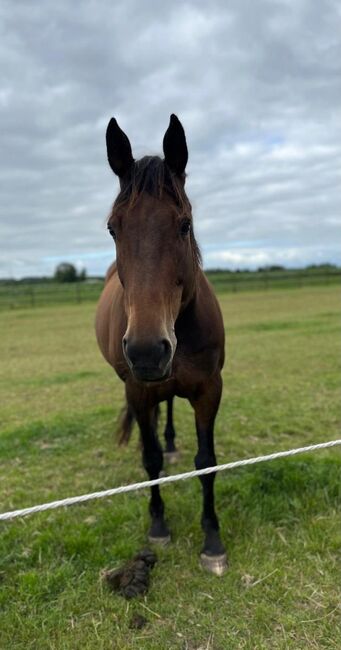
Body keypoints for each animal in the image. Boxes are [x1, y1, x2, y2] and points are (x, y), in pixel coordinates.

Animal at [95, 112, 226, 572]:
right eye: (113, 228)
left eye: (184, 224)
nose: (148, 351)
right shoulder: (137, 389)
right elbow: (148, 459)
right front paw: (158, 525)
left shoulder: (209, 390)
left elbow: (206, 463)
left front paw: (212, 542)